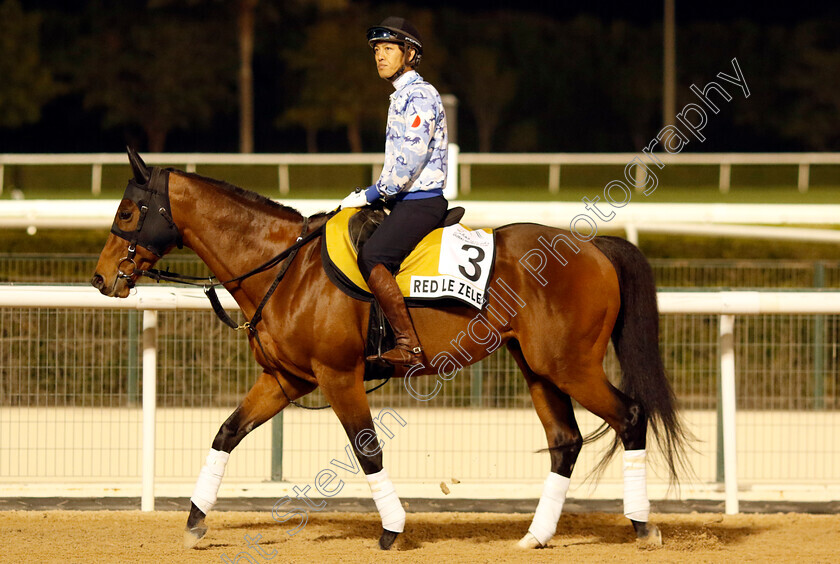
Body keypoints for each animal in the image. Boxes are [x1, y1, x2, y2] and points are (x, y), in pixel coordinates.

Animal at [92, 149, 684, 552]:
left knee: (631, 416)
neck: (288, 268)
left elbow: (367, 450)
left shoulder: (339, 377)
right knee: (566, 442)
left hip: (572, 366)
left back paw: (642, 525)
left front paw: (393, 529)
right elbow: (226, 433)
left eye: (128, 212)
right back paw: (536, 536)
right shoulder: (285, 380)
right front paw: (195, 520)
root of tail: (593, 247)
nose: (100, 279)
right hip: (539, 369)